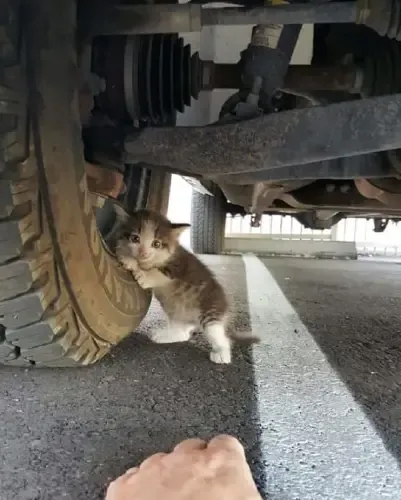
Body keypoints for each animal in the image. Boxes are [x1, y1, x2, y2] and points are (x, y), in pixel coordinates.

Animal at [114, 207, 256, 364]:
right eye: (135, 238)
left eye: (156, 244)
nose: (143, 252)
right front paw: (126, 256)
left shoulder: (178, 266)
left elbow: (157, 273)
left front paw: (140, 271)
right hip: (176, 312)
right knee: (183, 334)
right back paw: (166, 336)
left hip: (210, 309)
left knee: (218, 333)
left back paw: (222, 353)